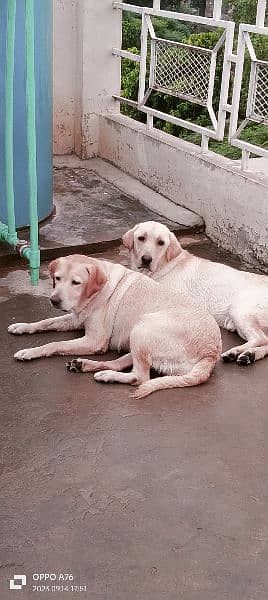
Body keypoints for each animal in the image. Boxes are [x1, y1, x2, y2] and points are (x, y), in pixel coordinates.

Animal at [8, 253, 222, 398]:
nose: (54, 300)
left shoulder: (94, 341)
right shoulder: (75, 318)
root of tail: (211, 353)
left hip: (143, 326)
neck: (95, 292)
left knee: (140, 377)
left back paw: (106, 374)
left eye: (76, 282)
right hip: (137, 336)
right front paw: (22, 327)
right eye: (57, 278)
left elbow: (54, 344)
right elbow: (45, 322)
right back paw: (87, 366)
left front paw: (31, 351)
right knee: (122, 363)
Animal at [122, 221, 268, 366]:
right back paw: (248, 355)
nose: (146, 259)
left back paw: (236, 351)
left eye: (161, 242)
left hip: (240, 311)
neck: (163, 266)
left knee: (260, 338)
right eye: (141, 238)